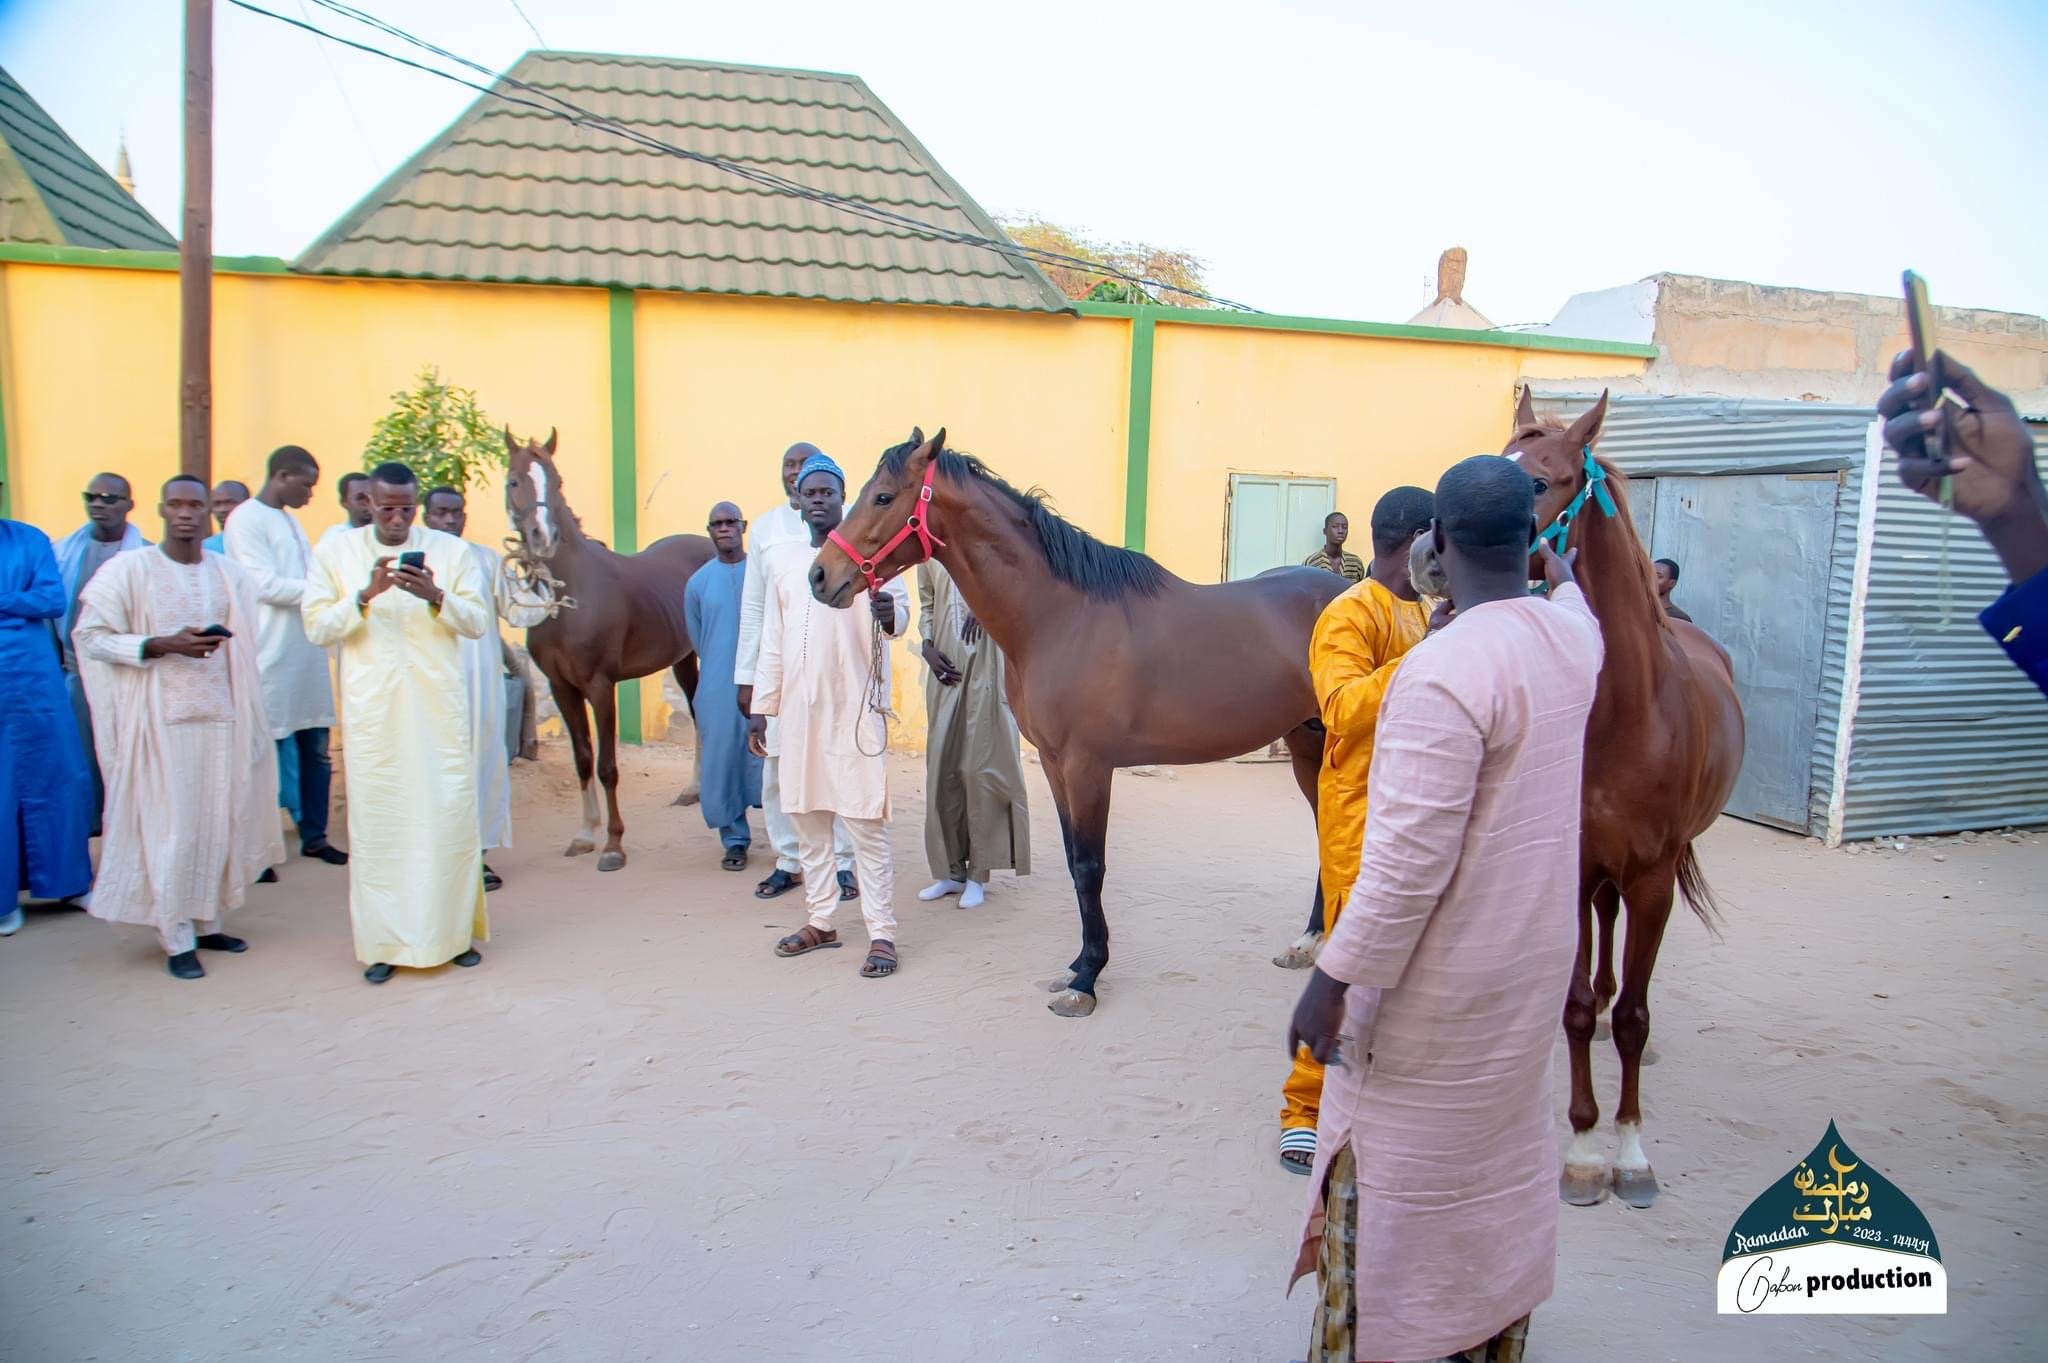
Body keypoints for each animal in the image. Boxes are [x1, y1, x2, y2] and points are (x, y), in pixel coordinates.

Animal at [499, 427, 716, 871]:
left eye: (557, 481)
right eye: (514, 481)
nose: (543, 538)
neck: (570, 595)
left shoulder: (600, 685)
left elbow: (607, 766)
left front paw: (614, 845)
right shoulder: (562, 687)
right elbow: (582, 759)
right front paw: (585, 834)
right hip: (683, 658)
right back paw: (693, 790)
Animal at [806, 429, 1335, 1015]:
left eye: (882, 497)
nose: (820, 575)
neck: (1061, 616)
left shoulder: (1088, 767)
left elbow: (1089, 867)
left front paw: (1088, 980)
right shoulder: (1056, 765)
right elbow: (1073, 863)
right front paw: (1079, 964)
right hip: (1307, 744)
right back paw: (1308, 942)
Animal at [1507, 386, 1744, 1203]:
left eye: (1538, 480)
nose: (1427, 554)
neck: (1620, 713)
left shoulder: (1652, 876)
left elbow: (1640, 1017)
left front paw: (1632, 1153)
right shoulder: (1576, 862)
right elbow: (1578, 1009)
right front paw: (1582, 1150)